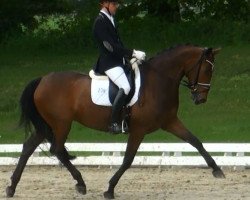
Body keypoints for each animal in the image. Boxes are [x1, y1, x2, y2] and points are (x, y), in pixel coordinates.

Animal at [5, 44, 225, 199]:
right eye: (207, 70)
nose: (200, 99)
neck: (159, 81)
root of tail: (42, 79)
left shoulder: (170, 121)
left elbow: (195, 141)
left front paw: (217, 170)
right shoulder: (139, 130)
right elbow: (128, 159)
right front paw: (110, 189)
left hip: (48, 124)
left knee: (28, 147)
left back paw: (11, 187)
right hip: (61, 124)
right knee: (57, 150)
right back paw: (80, 183)